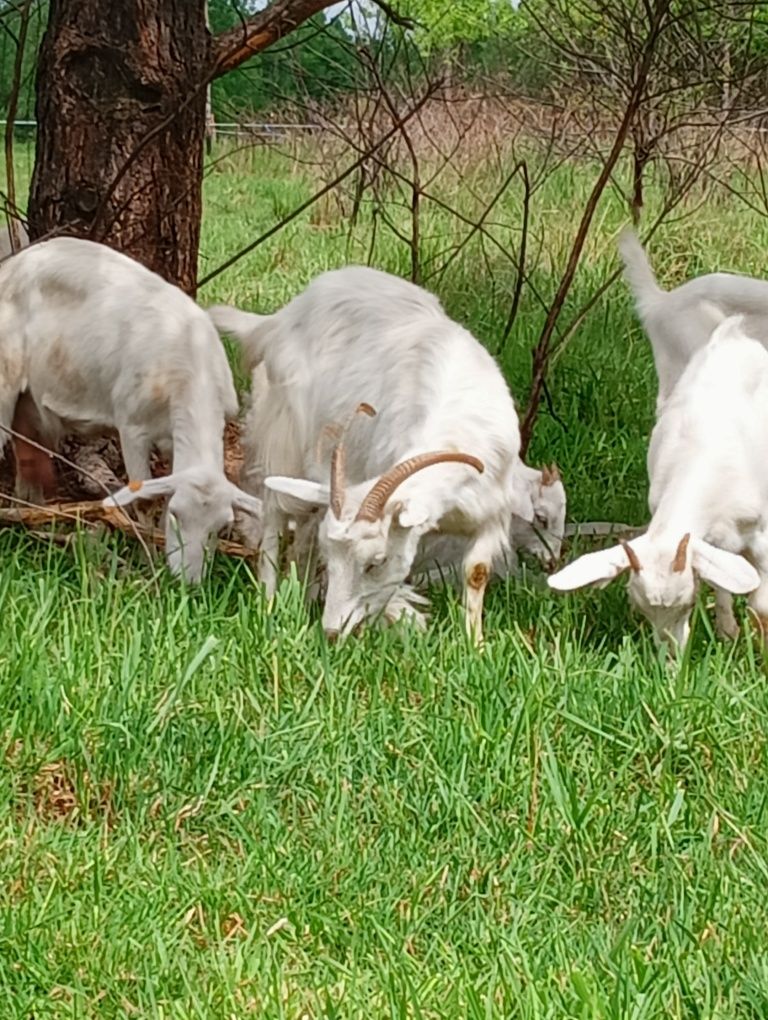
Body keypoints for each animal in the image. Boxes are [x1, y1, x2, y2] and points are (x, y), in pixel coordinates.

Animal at [0, 233, 261, 579]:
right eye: (177, 515)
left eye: (220, 528)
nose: (189, 582)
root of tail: (15, 263)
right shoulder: (132, 428)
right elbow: (143, 499)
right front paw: (148, 557)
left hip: (29, 403)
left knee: (29, 456)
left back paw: (31, 518)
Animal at [546, 314, 766, 648]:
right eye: (640, 609)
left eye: (688, 603)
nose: (671, 656)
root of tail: (733, 332)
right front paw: (727, 633)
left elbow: (760, 606)